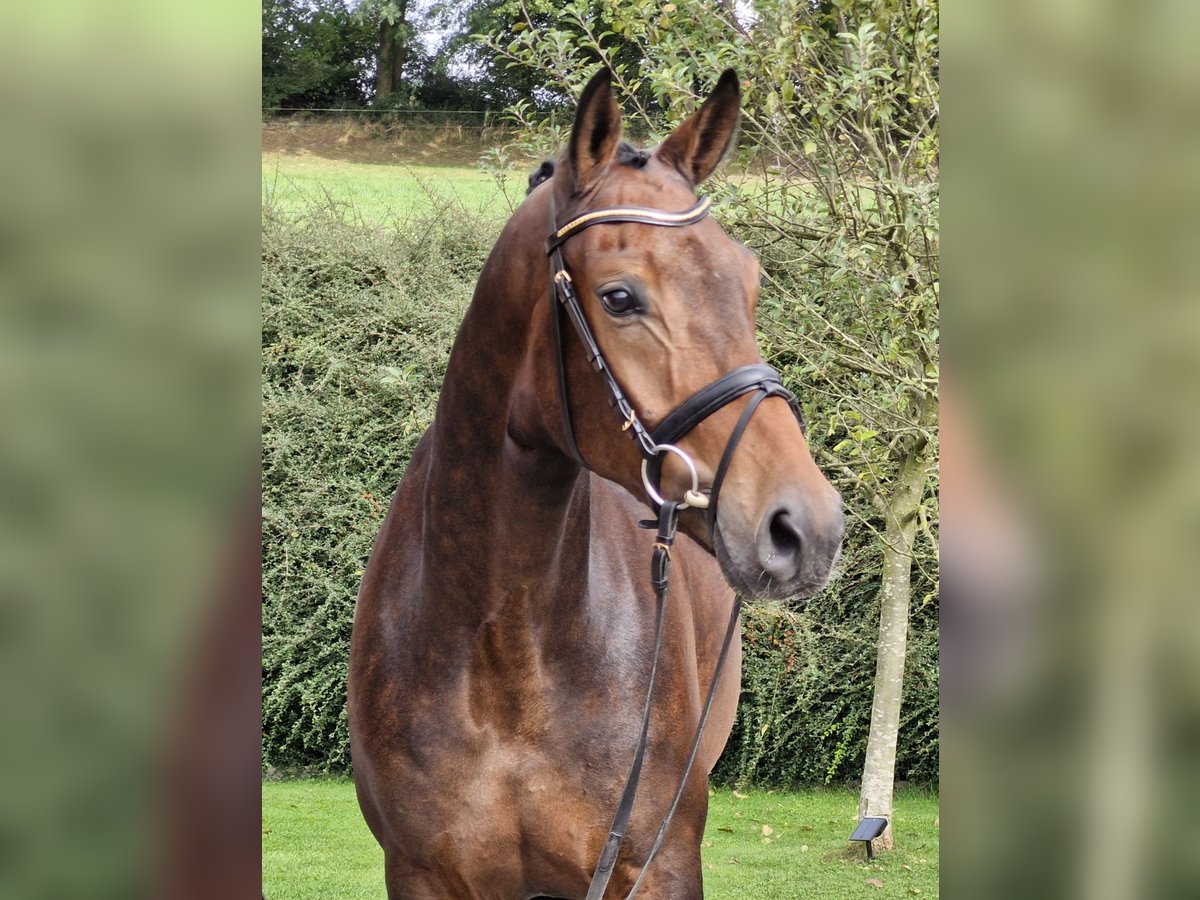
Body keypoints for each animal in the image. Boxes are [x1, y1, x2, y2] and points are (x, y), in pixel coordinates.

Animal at [348, 72, 844, 900]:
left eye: (749, 284)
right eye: (619, 297)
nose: (807, 527)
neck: (506, 650)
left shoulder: (656, 867)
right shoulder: (420, 875)